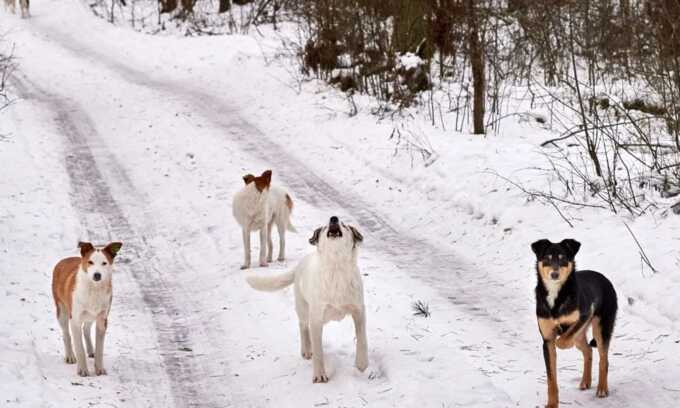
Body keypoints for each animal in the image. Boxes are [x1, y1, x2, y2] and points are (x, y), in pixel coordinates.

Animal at [53, 241, 123, 378]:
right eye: (90, 262)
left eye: (104, 263)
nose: (97, 275)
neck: (93, 289)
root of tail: (64, 260)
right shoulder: (75, 320)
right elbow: (79, 348)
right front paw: (82, 370)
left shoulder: (102, 319)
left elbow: (100, 348)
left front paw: (99, 369)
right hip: (62, 311)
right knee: (66, 334)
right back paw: (70, 356)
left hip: (90, 315)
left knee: (86, 329)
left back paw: (91, 350)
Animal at [247, 217, 370, 382]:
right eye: (324, 227)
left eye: (344, 225)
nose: (334, 218)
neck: (336, 266)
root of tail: (300, 264)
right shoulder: (316, 318)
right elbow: (318, 351)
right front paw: (319, 375)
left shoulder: (359, 311)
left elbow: (362, 340)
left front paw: (362, 366)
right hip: (305, 310)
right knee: (303, 327)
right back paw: (306, 349)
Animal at [532, 239, 620, 408]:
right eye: (546, 258)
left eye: (563, 258)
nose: (554, 274)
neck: (556, 295)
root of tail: (604, 278)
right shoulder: (547, 340)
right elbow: (551, 379)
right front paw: (552, 404)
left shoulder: (584, 316)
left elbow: (563, 340)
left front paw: (562, 341)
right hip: (581, 337)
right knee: (588, 351)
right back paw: (586, 381)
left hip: (600, 330)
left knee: (603, 360)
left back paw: (602, 389)